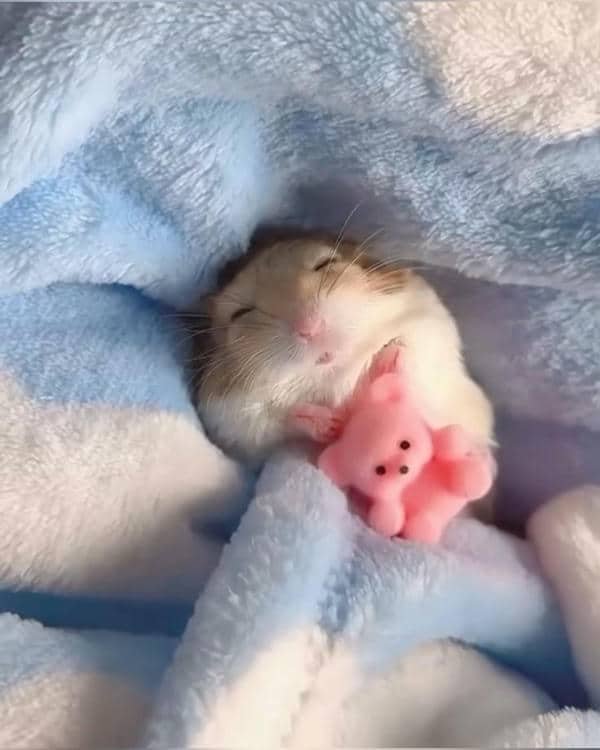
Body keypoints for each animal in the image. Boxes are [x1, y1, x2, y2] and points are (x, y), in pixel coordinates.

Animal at [193, 228, 494, 479]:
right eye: (241, 313)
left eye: (325, 263)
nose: (309, 328)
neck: (337, 369)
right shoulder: (227, 419)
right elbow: (270, 425)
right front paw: (331, 423)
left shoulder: (431, 327)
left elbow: (413, 367)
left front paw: (387, 359)